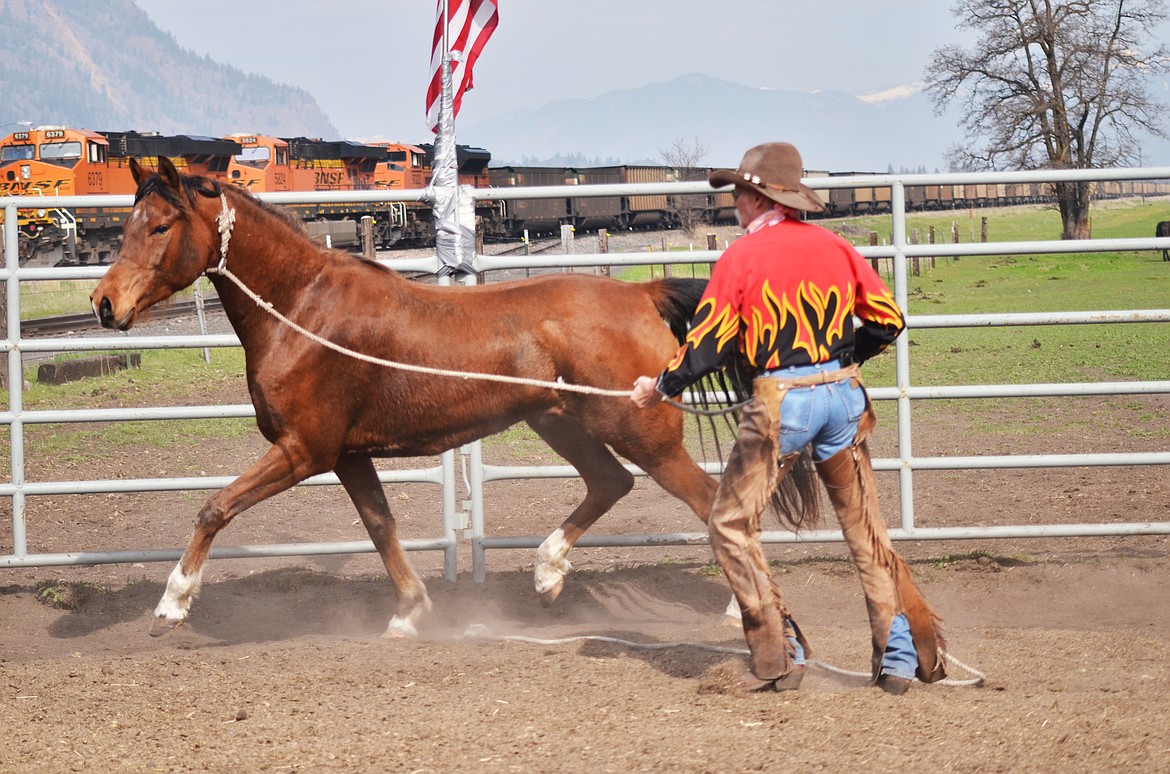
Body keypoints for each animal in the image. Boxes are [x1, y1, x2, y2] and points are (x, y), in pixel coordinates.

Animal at [93, 156, 748, 636]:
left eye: (160, 226)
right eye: (125, 226)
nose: (104, 303)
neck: (300, 310)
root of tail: (642, 294)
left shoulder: (303, 450)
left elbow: (214, 508)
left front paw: (171, 606)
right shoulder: (347, 455)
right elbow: (381, 526)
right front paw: (409, 613)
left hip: (642, 434)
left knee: (707, 499)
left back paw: (738, 610)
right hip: (562, 424)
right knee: (610, 483)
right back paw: (546, 576)